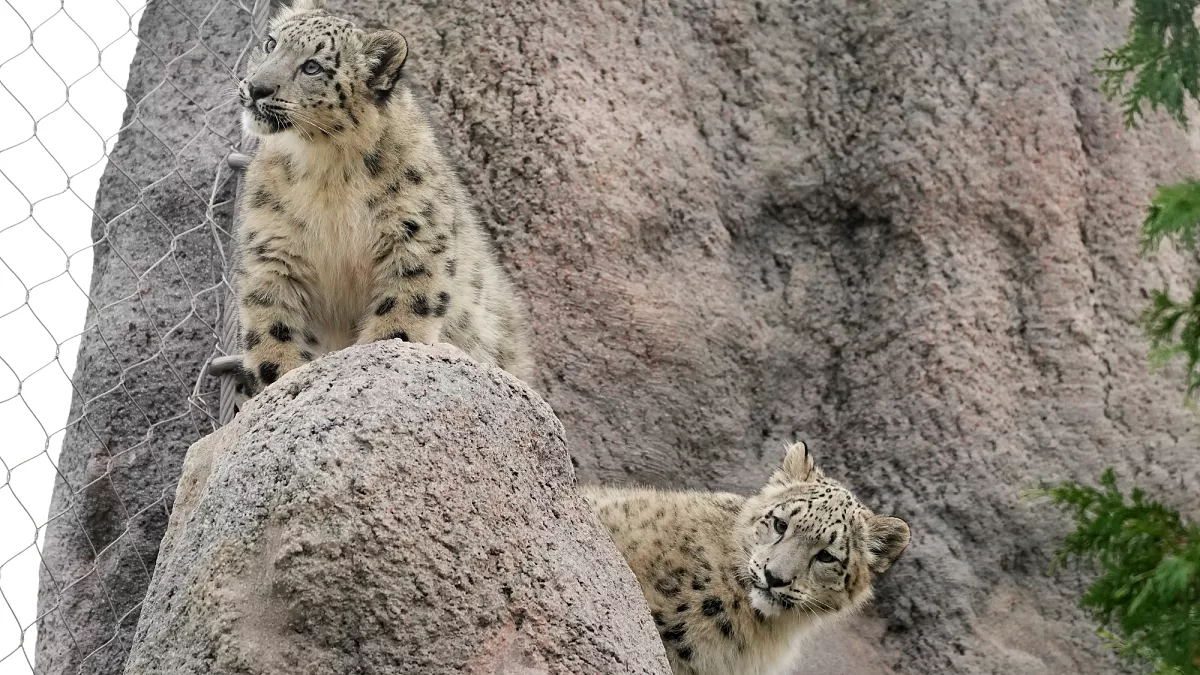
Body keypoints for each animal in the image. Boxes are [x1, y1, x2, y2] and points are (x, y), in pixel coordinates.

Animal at [233, 0, 532, 398]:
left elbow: (403, 309)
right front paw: (282, 379)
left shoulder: (413, 234)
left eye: (313, 66)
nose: (256, 87)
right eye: (270, 43)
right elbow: (272, 323)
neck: (325, 171)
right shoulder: (272, 247)